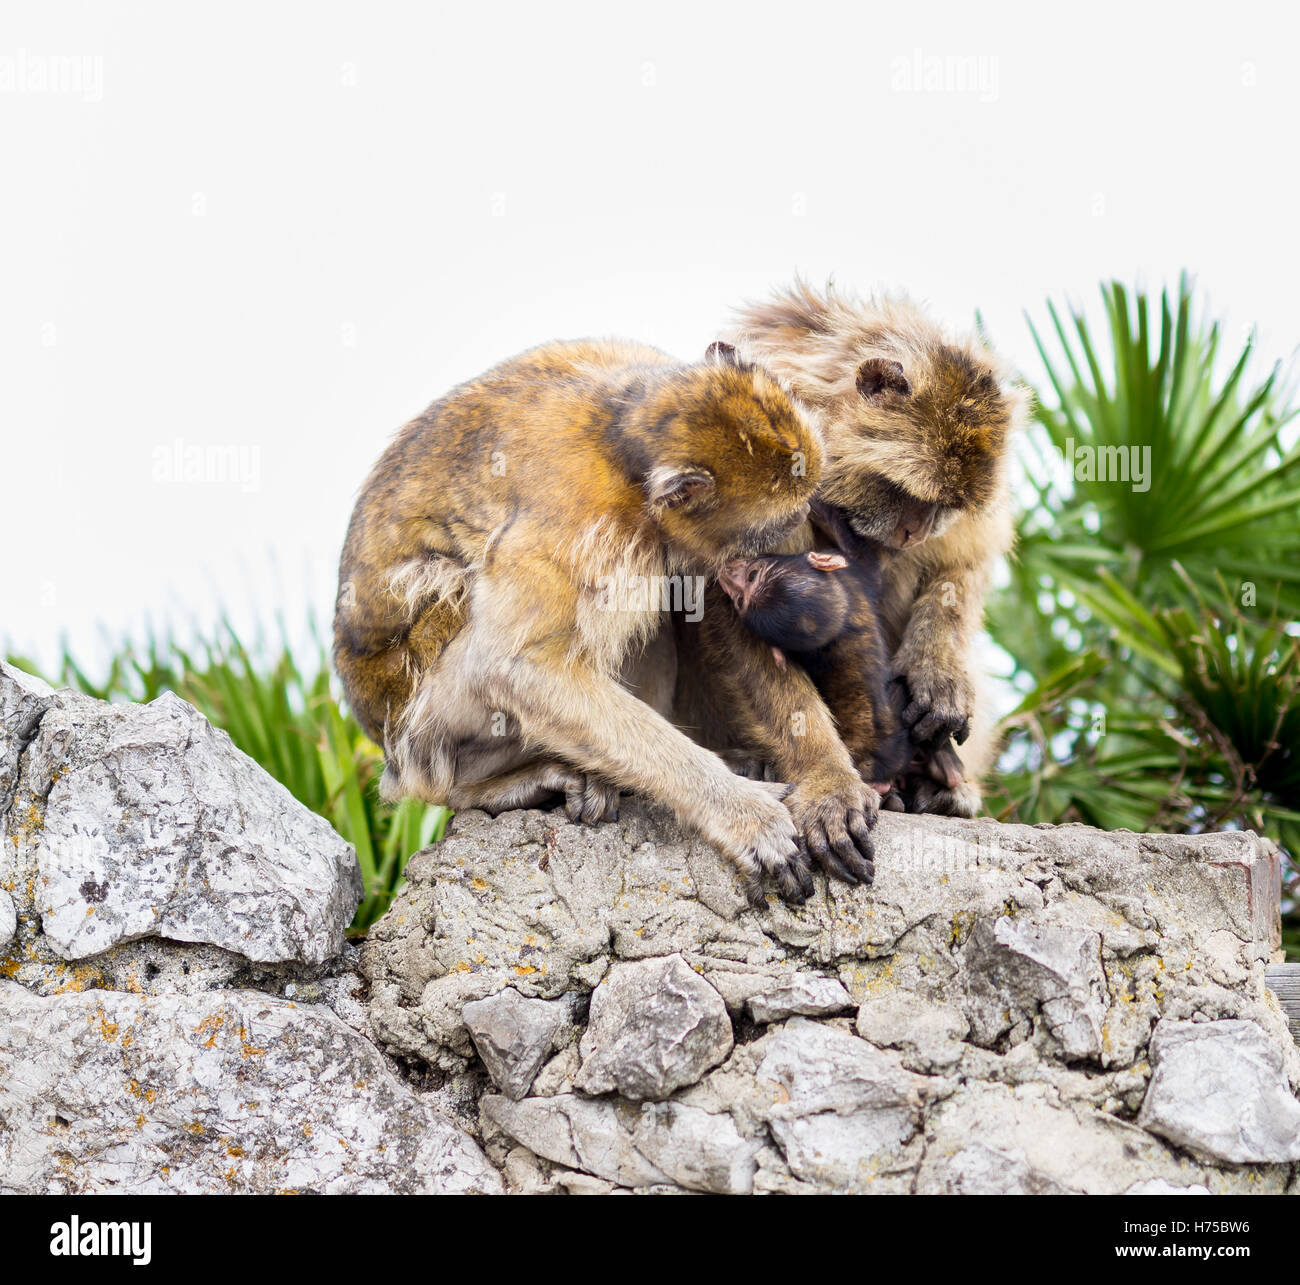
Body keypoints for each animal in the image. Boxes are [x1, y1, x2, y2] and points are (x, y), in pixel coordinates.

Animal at [335, 338, 821, 905]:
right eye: (786, 520)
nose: (804, 531)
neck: (626, 441)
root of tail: (383, 747)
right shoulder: (582, 520)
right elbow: (514, 666)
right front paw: (741, 814)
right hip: (419, 721)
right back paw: (477, 788)